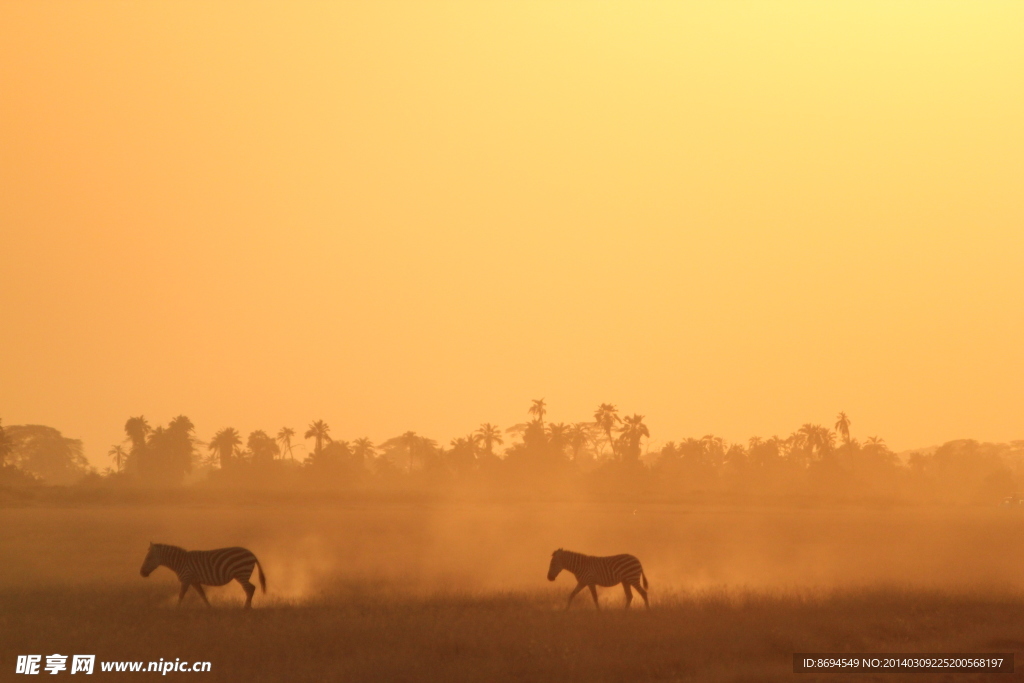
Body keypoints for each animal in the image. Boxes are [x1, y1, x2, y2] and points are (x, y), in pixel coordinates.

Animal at [140, 544, 268, 610]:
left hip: (241, 573)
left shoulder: (186, 579)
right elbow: (202, 595)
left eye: (148, 558)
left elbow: (181, 595)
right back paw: (248, 607)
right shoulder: (194, 581)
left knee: (249, 589)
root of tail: (251, 554)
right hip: (242, 574)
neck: (179, 562)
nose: (141, 573)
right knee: (252, 588)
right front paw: (210, 608)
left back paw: (246, 608)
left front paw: (176, 609)